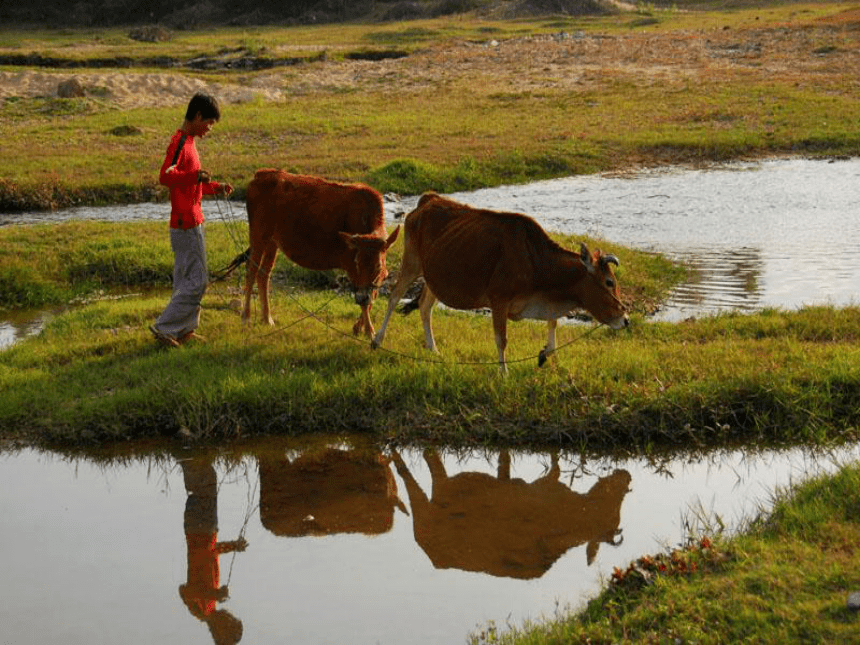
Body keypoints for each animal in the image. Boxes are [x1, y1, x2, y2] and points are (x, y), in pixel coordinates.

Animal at [239, 169, 400, 340]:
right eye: (357, 262)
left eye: (378, 266)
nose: (362, 296)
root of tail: (261, 174)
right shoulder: (350, 267)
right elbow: (365, 302)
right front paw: (370, 331)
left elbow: (372, 296)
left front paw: (359, 327)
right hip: (258, 234)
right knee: (251, 271)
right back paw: (246, 318)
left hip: (272, 241)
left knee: (264, 273)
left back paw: (267, 319)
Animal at [370, 192, 624, 372]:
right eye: (609, 282)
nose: (626, 319)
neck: (535, 260)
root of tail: (428, 200)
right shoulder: (499, 300)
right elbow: (502, 340)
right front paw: (504, 373)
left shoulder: (546, 300)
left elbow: (553, 324)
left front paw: (544, 353)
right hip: (412, 263)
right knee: (394, 297)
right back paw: (377, 340)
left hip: (434, 277)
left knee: (424, 308)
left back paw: (433, 349)